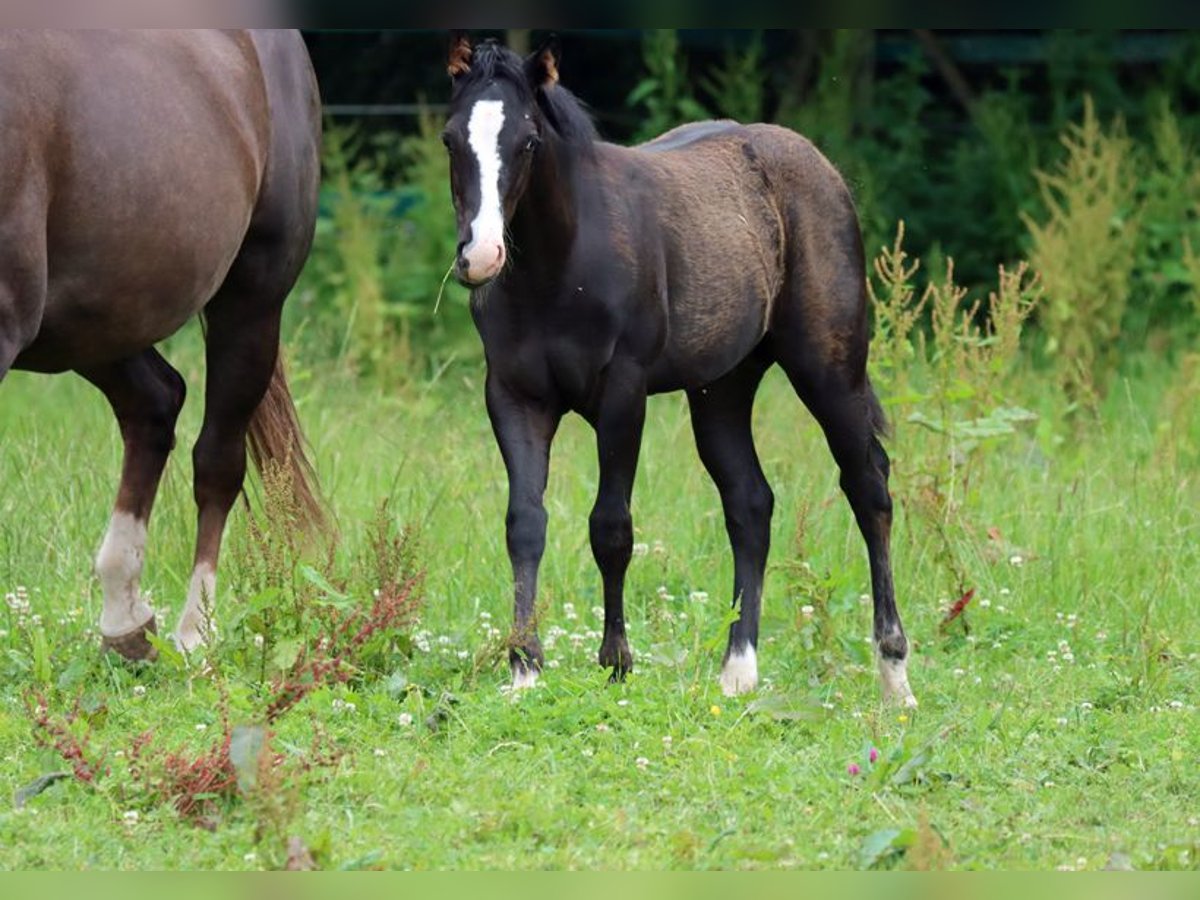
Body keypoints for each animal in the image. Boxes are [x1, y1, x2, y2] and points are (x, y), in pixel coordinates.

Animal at [0, 30, 324, 662]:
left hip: (251, 299)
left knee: (217, 459)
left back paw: (195, 632)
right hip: (98, 323)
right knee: (155, 401)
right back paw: (126, 620)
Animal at [444, 35, 916, 710]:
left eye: (528, 141)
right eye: (451, 140)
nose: (480, 257)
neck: (559, 269)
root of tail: (821, 167)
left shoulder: (624, 392)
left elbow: (610, 527)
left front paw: (616, 663)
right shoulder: (513, 396)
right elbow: (525, 524)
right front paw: (525, 669)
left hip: (831, 369)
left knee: (869, 488)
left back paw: (895, 676)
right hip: (722, 387)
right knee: (750, 501)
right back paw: (738, 671)